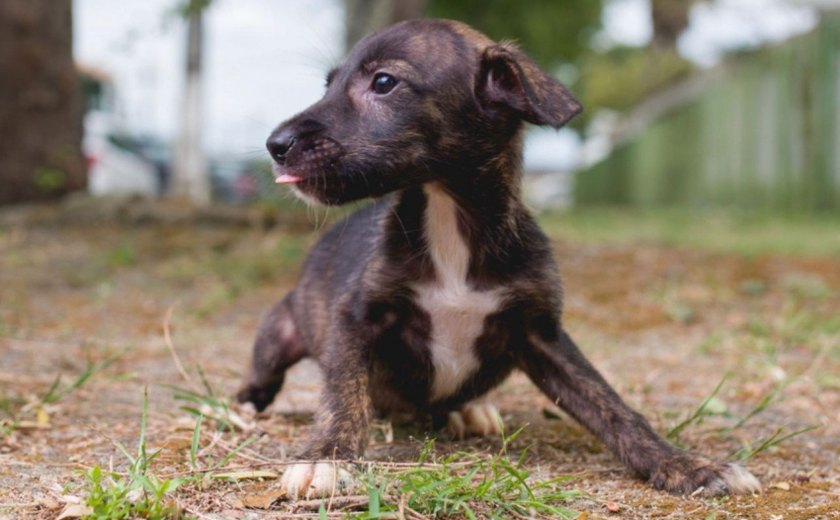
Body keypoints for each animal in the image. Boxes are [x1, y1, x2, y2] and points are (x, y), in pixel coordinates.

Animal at [236, 19, 760, 500]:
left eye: (383, 82)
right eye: (329, 84)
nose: (275, 145)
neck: (449, 220)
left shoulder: (540, 332)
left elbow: (611, 404)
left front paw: (683, 463)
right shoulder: (356, 318)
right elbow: (343, 393)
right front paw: (326, 457)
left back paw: (470, 410)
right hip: (276, 332)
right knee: (266, 378)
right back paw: (243, 404)